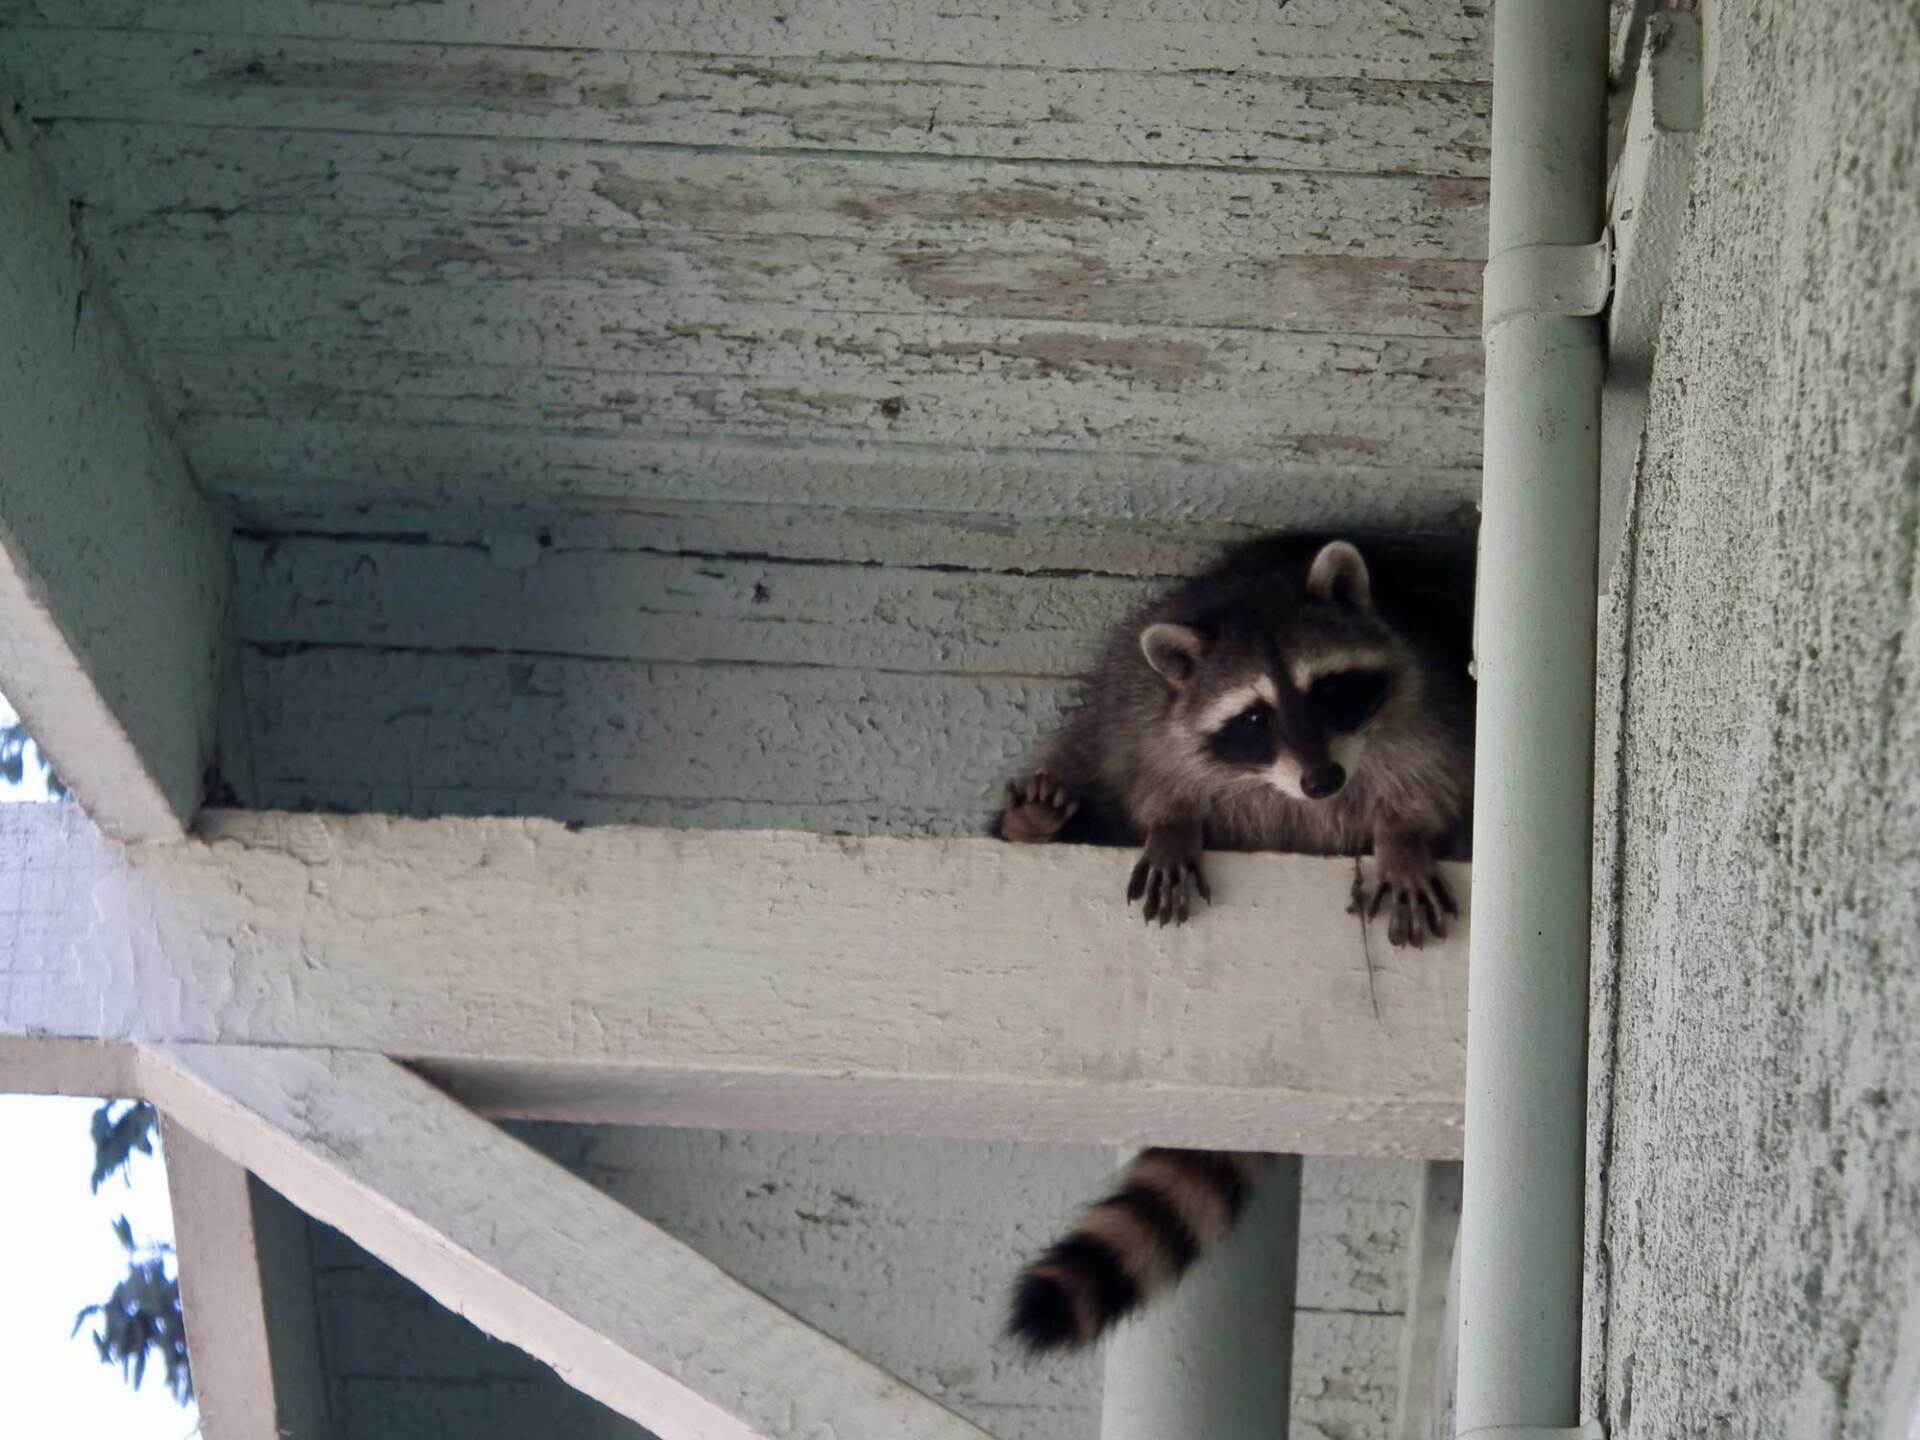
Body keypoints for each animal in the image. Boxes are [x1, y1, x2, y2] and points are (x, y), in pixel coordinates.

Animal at [996, 533, 1474, 1352]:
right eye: (1254, 717)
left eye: (1328, 690)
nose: (1323, 779)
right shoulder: (1146, 716)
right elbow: (1153, 771)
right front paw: (1172, 821)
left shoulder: (1429, 690)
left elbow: (1432, 774)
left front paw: (1403, 838)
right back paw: (1033, 825)